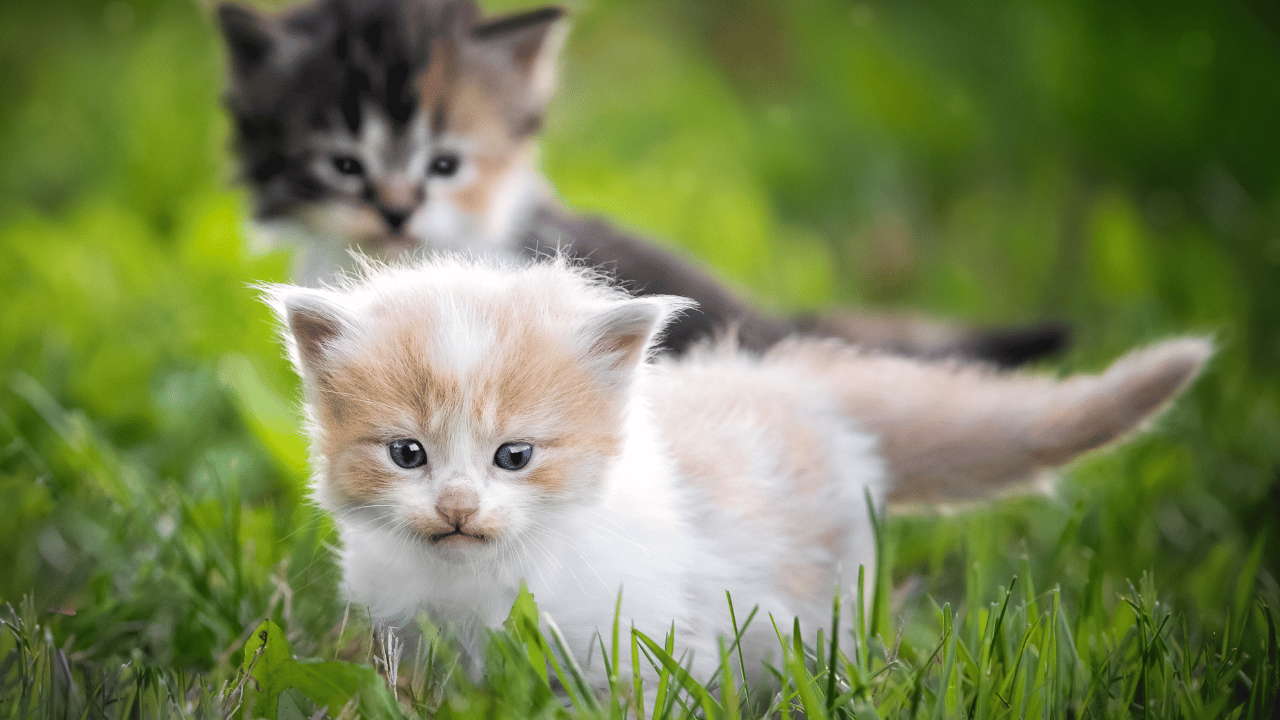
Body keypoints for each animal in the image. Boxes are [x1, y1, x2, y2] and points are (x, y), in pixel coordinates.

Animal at [262, 257, 1208, 691]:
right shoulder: (408, 638)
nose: (457, 507)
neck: (478, 578)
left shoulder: (634, 642)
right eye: (407, 454)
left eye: (515, 457)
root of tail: (795, 380)